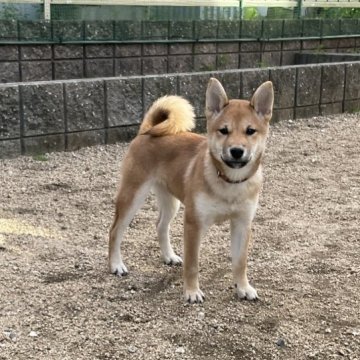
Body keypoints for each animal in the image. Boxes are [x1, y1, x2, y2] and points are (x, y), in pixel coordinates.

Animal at [108, 77, 274, 302]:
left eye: (250, 131)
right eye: (224, 130)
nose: (237, 151)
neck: (230, 183)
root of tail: (148, 129)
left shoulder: (242, 223)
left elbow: (240, 262)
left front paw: (243, 288)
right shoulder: (194, 224)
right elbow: (192, 263)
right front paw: (192, 292)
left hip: (171, 202)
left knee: (160, 225)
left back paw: (169, 256)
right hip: (132, 196)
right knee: (115, 231)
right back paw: (116, 265)